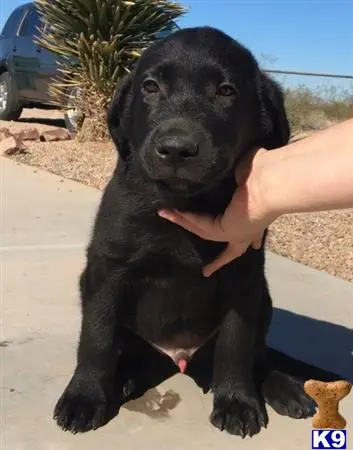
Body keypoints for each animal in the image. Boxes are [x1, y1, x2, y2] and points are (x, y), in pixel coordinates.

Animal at [54, 26, 328, 438]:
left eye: (226, 91)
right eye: (150, 87)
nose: (177, 149)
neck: (184, 203)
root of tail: (178, 359)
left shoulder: (241, 277)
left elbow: (235, 342)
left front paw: (236, 400)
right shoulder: (107, 270)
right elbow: (96, 337)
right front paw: (84, 396)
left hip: (263, 298)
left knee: (258, 356)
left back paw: (284, 388)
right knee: (126, 350)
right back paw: (126, 378)